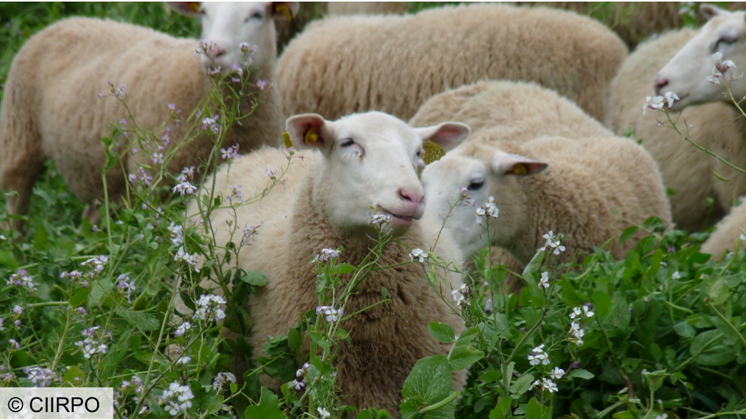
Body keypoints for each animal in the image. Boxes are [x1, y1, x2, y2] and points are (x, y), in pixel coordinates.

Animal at [0, 1, 296, 231]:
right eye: (203, 11)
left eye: (256, 14)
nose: (212, 51)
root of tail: (68, 20)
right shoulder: (155, 184)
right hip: (19, 134)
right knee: (15, 206)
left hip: (101, 174)